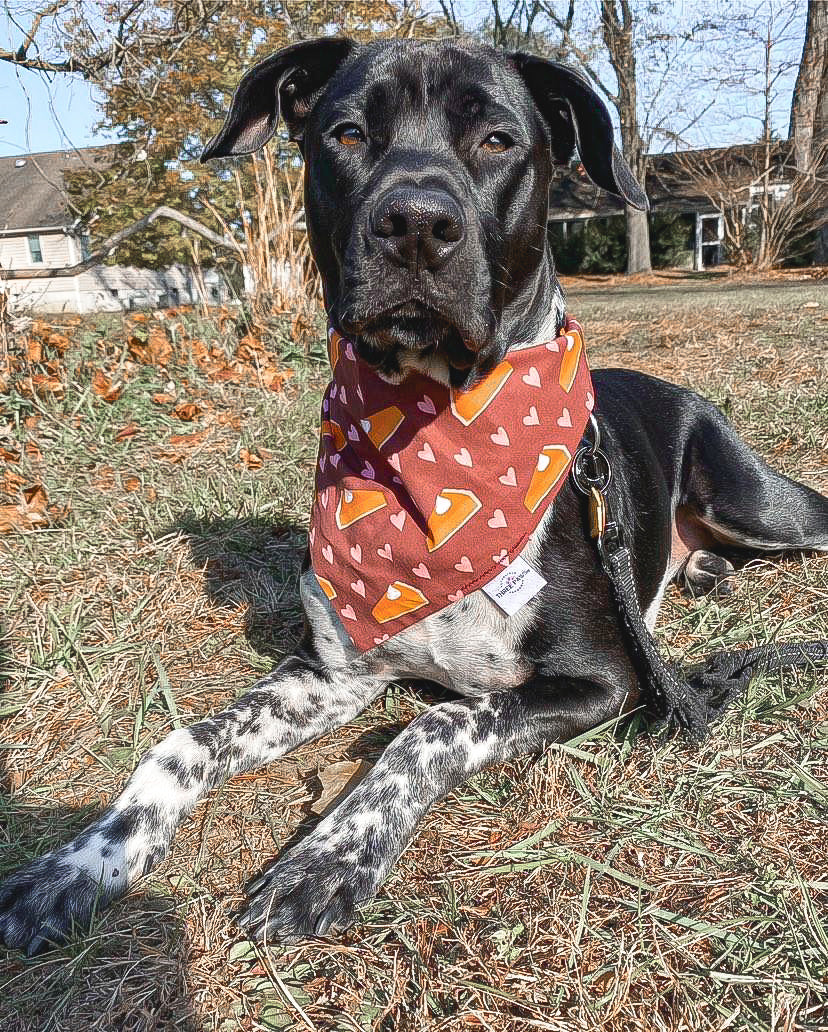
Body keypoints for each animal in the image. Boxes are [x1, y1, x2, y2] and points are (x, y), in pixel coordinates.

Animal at [1, 36, 825, 953]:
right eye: (348, 133)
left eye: (498, 140)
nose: (417, 225)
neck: (436, 437)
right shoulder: (335, 671)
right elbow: (184, 742)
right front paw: (83, 862)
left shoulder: (605, 680)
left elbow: (431, 725)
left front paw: (328, 857)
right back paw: (705, 572)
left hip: (753, 503)